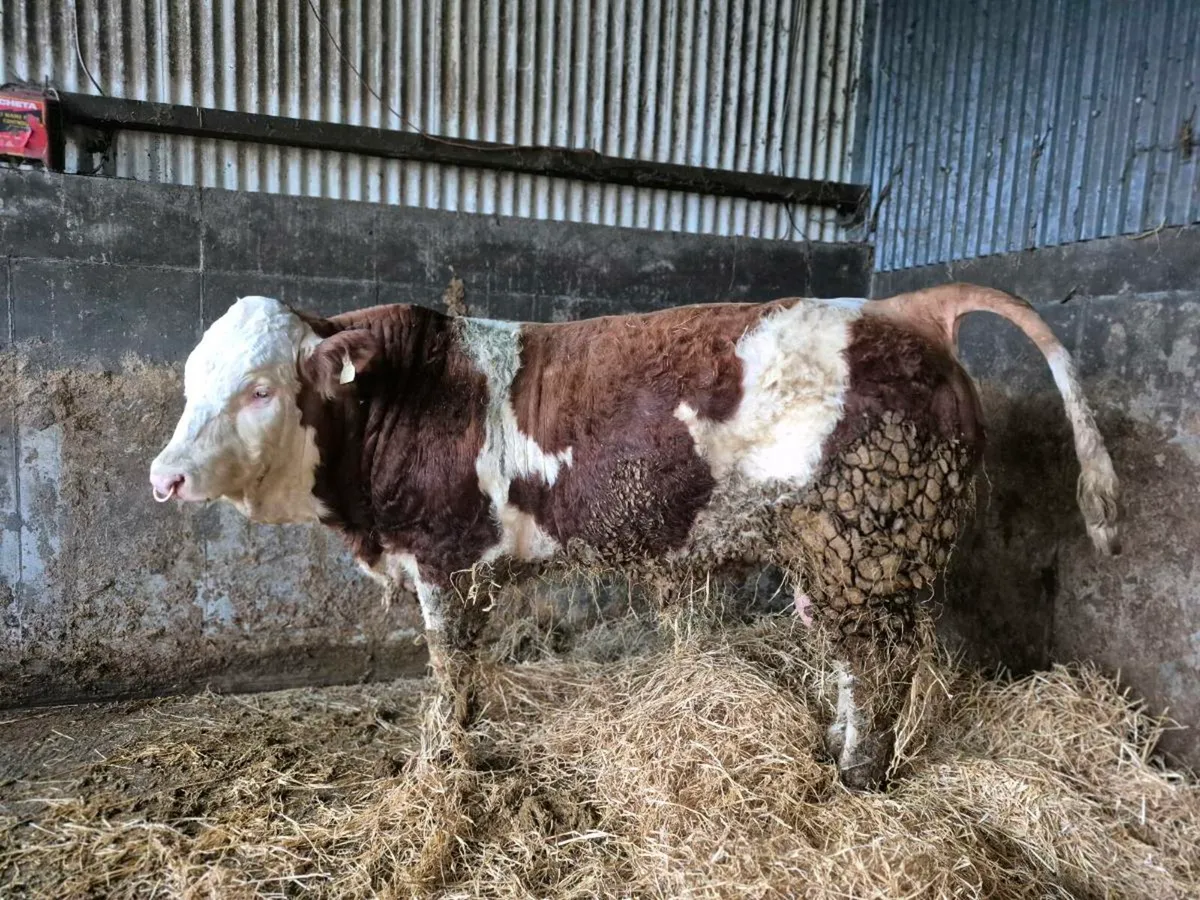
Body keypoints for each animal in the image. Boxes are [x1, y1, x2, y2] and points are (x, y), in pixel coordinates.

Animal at [149, 284, 1119, 790]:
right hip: (842, 563)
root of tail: (904, 310)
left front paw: (447, 759)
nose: (165, 477)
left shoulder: (448, 560)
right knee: (857, 669)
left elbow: (453, 675)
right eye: (192, 383)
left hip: (869, 547)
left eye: (261, 389)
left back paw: (858, 781)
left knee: (880, 674)